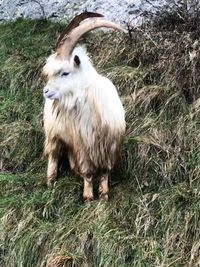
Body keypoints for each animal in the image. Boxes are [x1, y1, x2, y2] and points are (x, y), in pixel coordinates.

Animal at [42, 12, 126, 201]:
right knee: (53, 156)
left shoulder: (108, 145)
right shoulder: (83, 146)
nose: (46, 91)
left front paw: (104, 195)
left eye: (65, 72)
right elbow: (87, 171)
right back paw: (51, 181)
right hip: (53, 134)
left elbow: (105, 171)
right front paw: (88, 197)